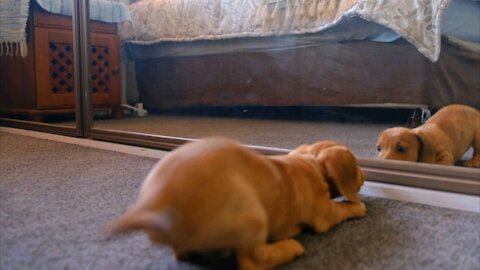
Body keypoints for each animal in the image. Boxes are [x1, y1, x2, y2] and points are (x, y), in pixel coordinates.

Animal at [107, 139, 366, 270]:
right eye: (356, 164)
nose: (364, 175)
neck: (309, 163)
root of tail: (157, 204)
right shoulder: (325, 214)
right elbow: (343, 209)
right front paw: (358, 206)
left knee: (183, 254)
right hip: (253, 215)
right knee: (253, 261)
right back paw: (290, 247)